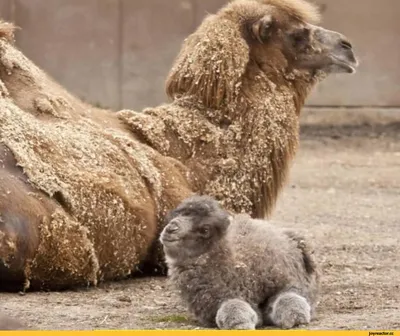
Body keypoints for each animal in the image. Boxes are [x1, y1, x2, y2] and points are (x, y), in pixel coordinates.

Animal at [159, 196, 318, 330]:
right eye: (176, 215)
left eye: (205, 229)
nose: (171, 228)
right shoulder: (216, 301)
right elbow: (232, 307)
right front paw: (242, 323)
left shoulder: (287, 281)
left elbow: (288, 297)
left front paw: (296, 317)